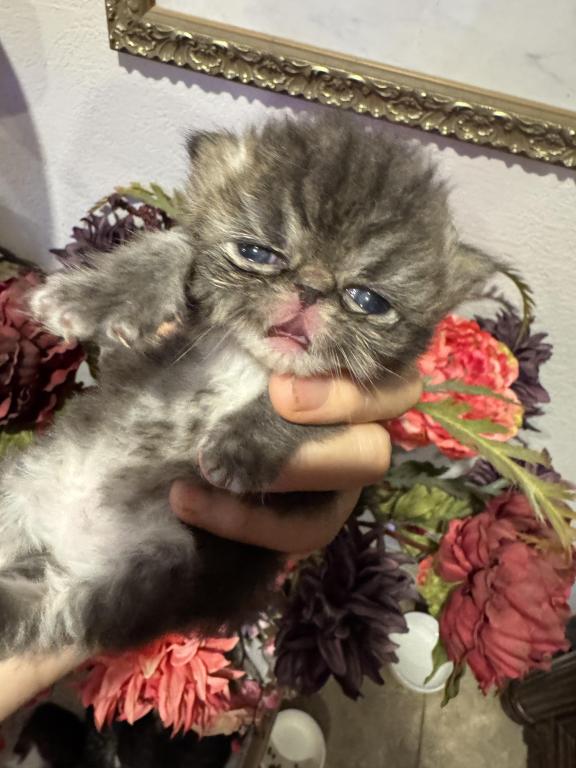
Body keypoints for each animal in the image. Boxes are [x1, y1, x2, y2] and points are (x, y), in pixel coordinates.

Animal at [0, 115, 497, 656]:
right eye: (257, 253)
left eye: (367, 299)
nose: (310, 289)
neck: (249, 362)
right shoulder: (145, 354)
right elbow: (179, 245)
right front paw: (92, 297)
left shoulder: (331, 465)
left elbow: (307, 409)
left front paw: (240, 448)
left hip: (123, 582)